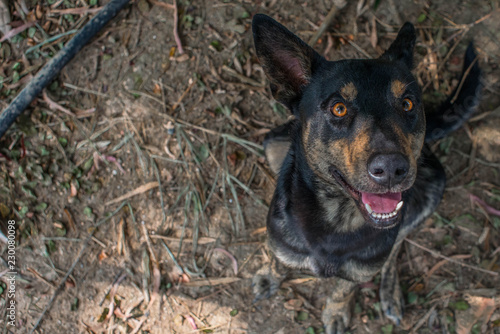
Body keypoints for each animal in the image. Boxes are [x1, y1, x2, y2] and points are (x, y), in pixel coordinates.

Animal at [252, 12, 482, 332]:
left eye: (407, 104)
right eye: (338, 108)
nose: (392, 169)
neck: (338, 218)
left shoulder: (361, 269)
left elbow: (344, 287)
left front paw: (336, 312)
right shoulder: (282, 241)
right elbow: (278, 259)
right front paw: (269, 275)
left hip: (433, 189)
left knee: (396, 247)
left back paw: (390, 292)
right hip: (273, 144)